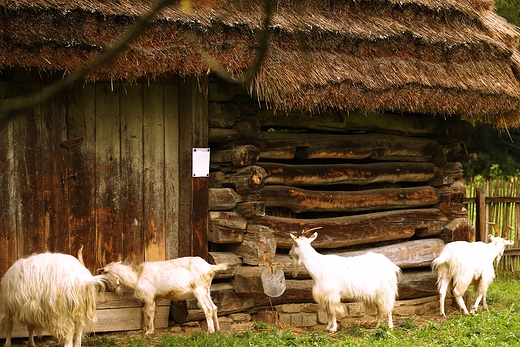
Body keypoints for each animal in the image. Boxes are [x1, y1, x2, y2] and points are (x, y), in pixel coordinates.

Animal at [97, 256, 228, 336]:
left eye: (105, 272)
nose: (111, 289)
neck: (137, 276)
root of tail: (210, 267)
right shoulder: (151, 298)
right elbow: (145, 312)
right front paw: (146, 329)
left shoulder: (149, 297)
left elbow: (149, 313)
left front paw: (149, 332)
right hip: (206, 290)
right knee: (214, 307)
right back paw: (218, 329)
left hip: (199, 291)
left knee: (208, 309)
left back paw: (210, 331)